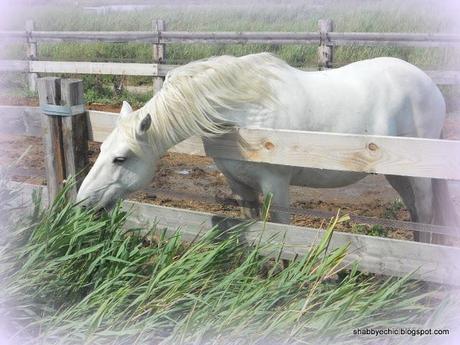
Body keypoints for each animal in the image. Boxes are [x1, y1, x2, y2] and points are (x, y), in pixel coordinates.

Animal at [77, 52, 458, 241]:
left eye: (120, 158)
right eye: (101, 150)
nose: (81, 204)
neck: (240, 112)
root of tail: (427, 83)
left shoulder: (276, 184)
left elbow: (282, 229)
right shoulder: (240, 185)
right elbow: (253, 225)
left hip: (419, 176)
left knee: (426, 213)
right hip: (397, 174)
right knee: (416, 213)